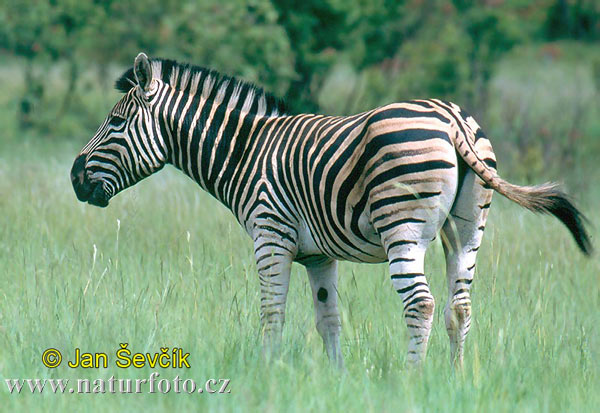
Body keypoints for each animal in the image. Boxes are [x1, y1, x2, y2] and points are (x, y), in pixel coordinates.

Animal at [70, 54, 592, 366]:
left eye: (115, 122)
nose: (75, 178)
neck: (246, 153)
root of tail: (451, 119)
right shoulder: (318, 255)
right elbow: (329, 319)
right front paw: (336, 379)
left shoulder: (271, 237)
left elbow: (272, 311)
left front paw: (267, 372)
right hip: (467, 230)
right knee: (459, 306)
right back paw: (456, 379)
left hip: (402, 227)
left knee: (420, 303)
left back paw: (413, 380)